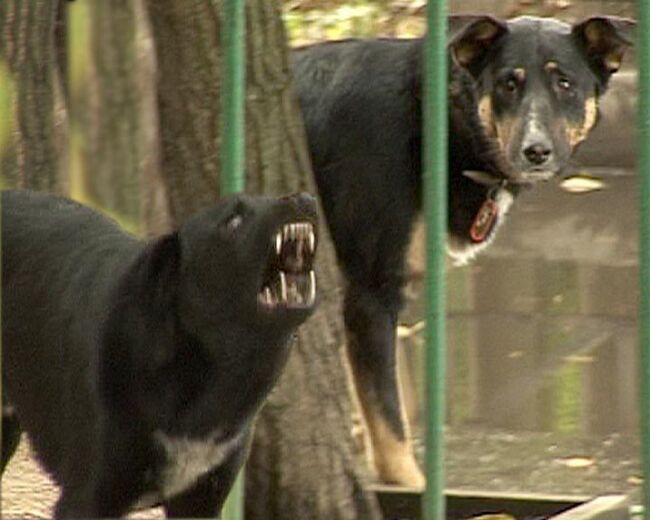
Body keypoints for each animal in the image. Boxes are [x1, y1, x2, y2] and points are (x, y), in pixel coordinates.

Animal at [290, 15, 632, 488]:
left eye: (564, 83)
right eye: (508, 83)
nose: (535, 151)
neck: (438, 119)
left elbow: (389, 404)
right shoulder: (370, 294)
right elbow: (391, 422)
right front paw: (409, 483)